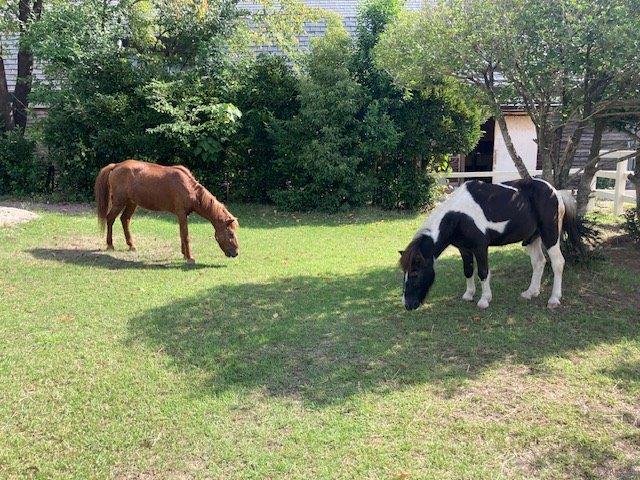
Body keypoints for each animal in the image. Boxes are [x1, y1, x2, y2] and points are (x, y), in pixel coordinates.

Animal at [92, 159, 238, 260]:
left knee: (125, 219)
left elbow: (182, 234)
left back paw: (131, 245)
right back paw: (110, 245)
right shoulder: (181, 214)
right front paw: (189, 257)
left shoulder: (183, 215)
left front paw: (184, 254)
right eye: (230, 234)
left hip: (131, 203)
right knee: (110, 219)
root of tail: (116, 166)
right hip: (119, 202)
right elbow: (185, 235)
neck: (190, 188)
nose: (236, 253)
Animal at [400, 180, 580, 312]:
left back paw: (554, 299)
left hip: (550, 236)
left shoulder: (480, 248)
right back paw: (531, 292)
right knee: (539, 262)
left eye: (415, 273)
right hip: (532, 238)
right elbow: (468, 271)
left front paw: (484, 300)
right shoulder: (464, 249)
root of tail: (556, 192)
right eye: (405, 273)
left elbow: (483, 272)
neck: (458, 215)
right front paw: (468, 294)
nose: (407, 304)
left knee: (558, 263)